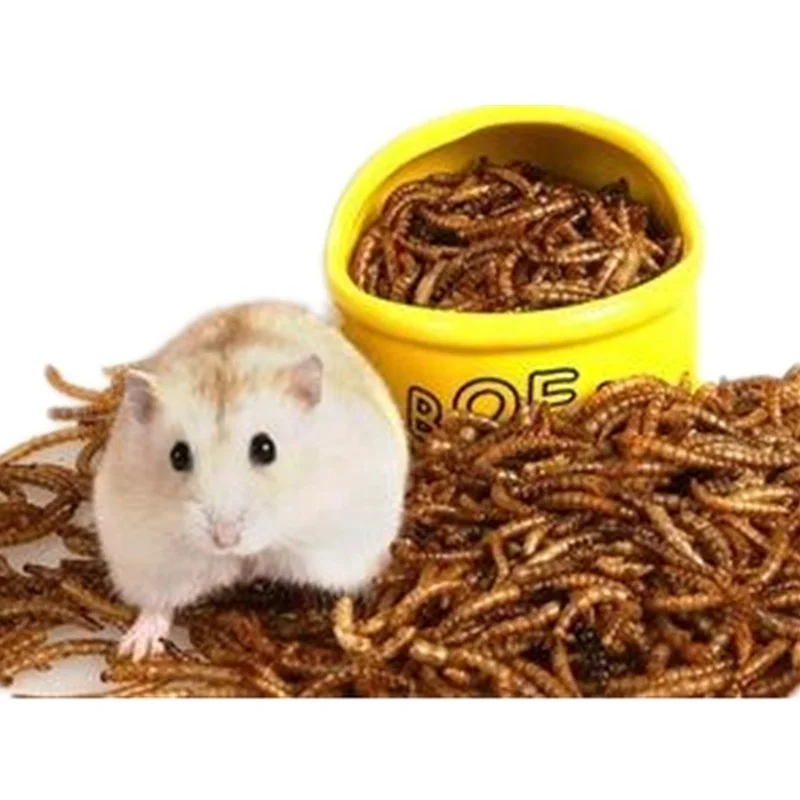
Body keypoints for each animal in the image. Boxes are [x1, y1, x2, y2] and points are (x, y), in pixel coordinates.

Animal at [93, 301, 409, 660]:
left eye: (265, 448)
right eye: (178, 456)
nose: (225, 539)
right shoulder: (145, 551)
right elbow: (158, 603)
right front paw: (133, 651)